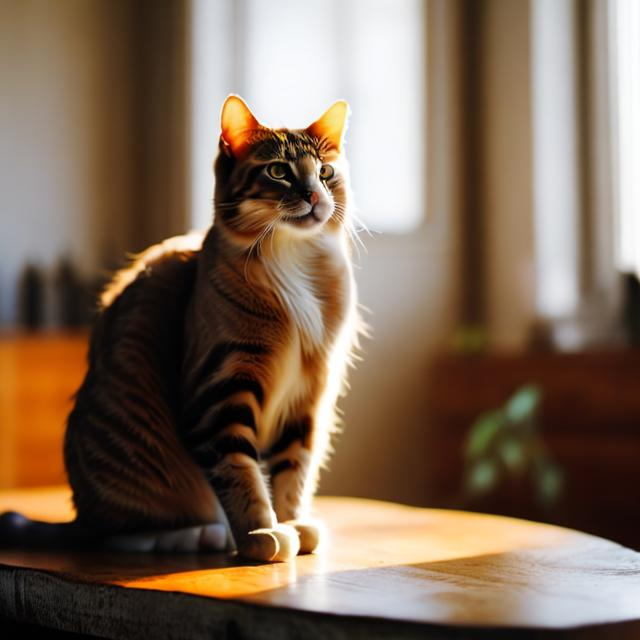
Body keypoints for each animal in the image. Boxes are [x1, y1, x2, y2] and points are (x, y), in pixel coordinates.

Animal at [0, 95, 360, 560]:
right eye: (279, 171)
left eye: (325, 172)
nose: (314, 194)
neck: (295, 259)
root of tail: (79, 516)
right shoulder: (220, 390)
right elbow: (239, 471)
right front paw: (261, 535)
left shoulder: (308, 398)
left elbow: (292, 473)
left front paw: (294, 524)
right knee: (121, 534)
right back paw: (207, 534)